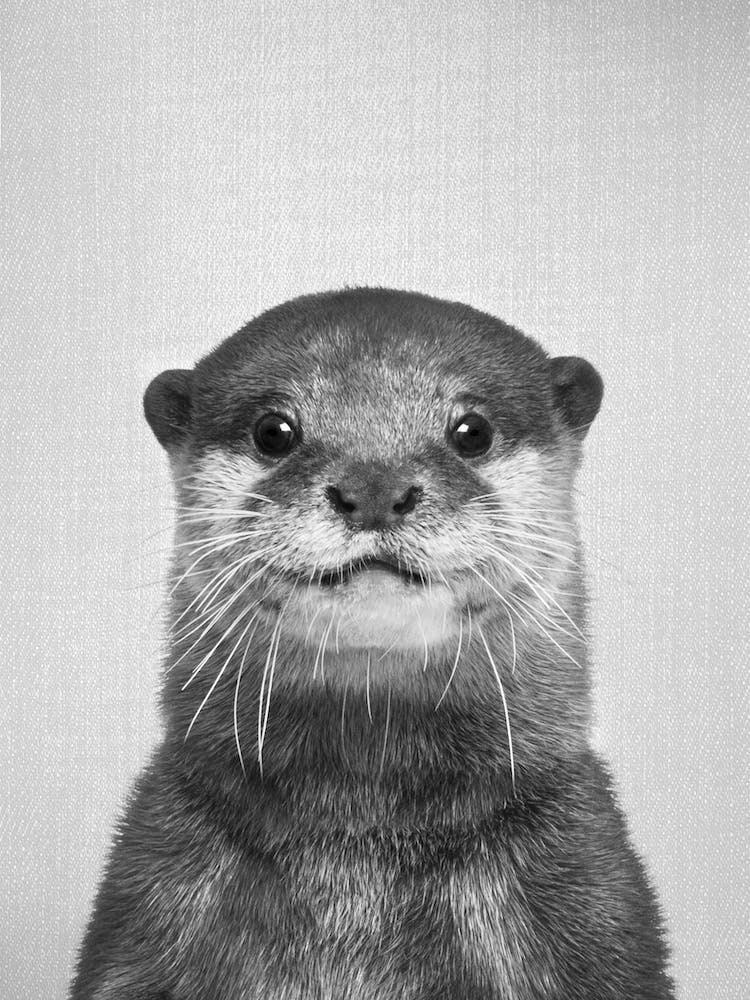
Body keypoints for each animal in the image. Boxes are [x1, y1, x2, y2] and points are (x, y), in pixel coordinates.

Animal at [70, 288, 673, 999]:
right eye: (274, 431)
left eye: (472, 430)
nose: (375, 488)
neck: (357, 850)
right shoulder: (148, 898)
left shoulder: (588, 901)